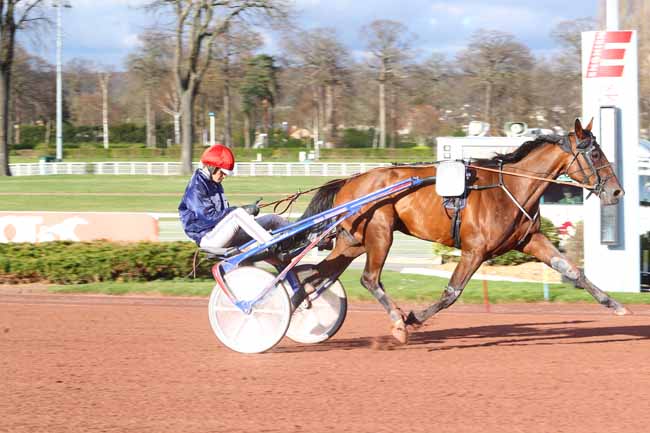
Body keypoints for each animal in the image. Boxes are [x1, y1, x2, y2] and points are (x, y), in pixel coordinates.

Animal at [296, 118, 628, 344]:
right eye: (595, 154)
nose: (617, 191)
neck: (511, 186)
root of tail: (350, 180)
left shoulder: (530, 240)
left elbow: (572, 271)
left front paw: (616, 304)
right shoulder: (474, 250)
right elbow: (451, 292)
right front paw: (413, 318)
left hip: (353, 242)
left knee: (315, 277)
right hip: (380, 232)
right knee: (369, 278)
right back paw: (398, 324)